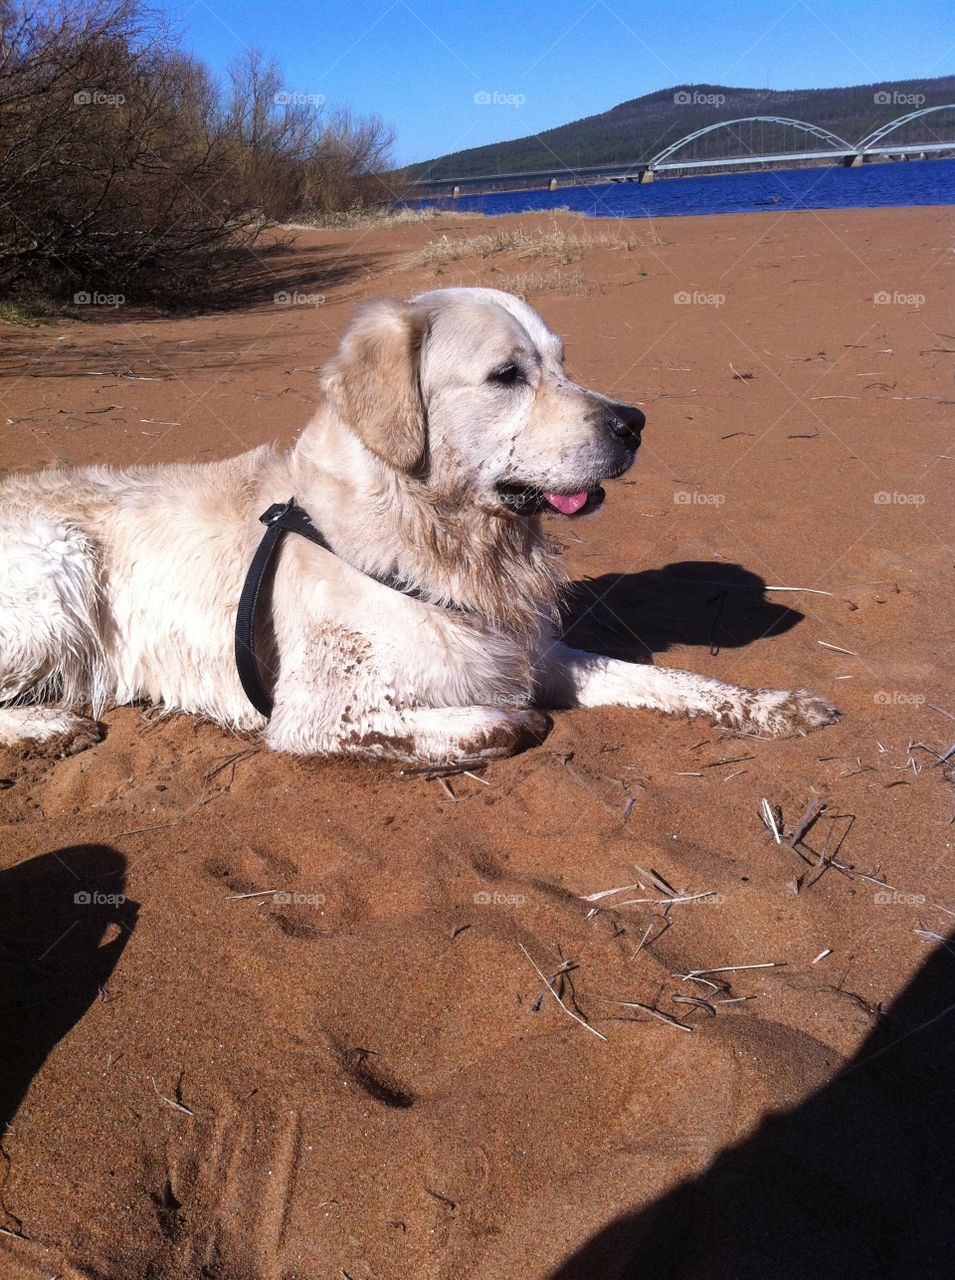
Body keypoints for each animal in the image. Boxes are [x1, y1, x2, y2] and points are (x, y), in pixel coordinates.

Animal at [0, 288, 834, 757]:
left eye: (561, 363)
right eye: (507, 375)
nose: (633, 424)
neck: (438, 535)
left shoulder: (528, 651)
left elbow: (669, 678)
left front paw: (771, 707)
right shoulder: (313, 713)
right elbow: (505, 719)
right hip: (55, 578)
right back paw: (48, 730)